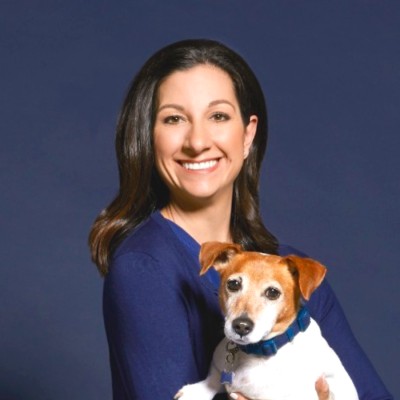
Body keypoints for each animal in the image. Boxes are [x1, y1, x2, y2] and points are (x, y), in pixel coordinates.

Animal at [175, 242, 358, 400]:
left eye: (272, 292)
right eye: (233, 284)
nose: (241, 326)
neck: (258, 352)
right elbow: (213, 379)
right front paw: (196, 391)